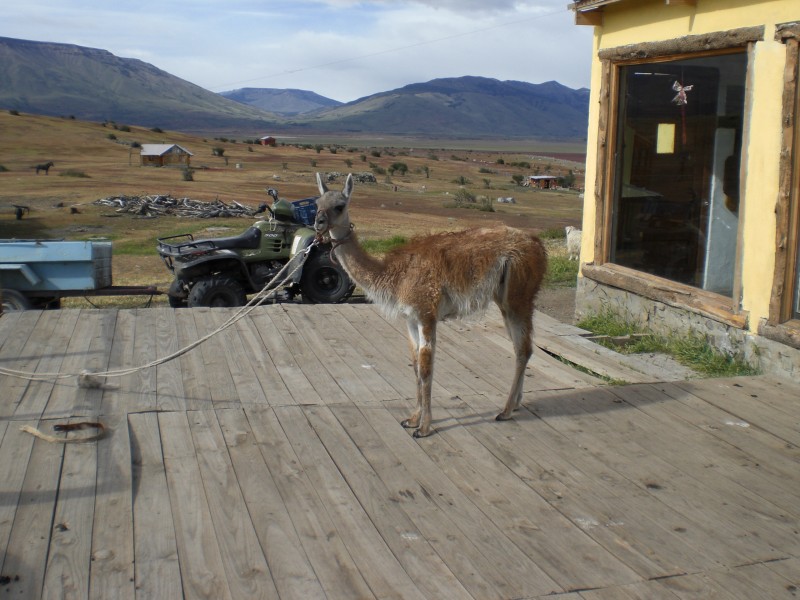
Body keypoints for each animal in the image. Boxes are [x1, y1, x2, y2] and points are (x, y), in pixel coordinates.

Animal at [313, 173, 547, 437]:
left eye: (340, 206)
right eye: (317, 202)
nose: (318, 222)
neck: (396, 275)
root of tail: (538, 244)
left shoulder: (426, 312)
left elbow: (426, 368)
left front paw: (424, 427)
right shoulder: (410, 318)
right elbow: (415, 364)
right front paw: (412, 418)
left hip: (518, 295)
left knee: (524, 349)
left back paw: (505, 411)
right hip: (506, 300)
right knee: (521, 348)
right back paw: (515, 404)